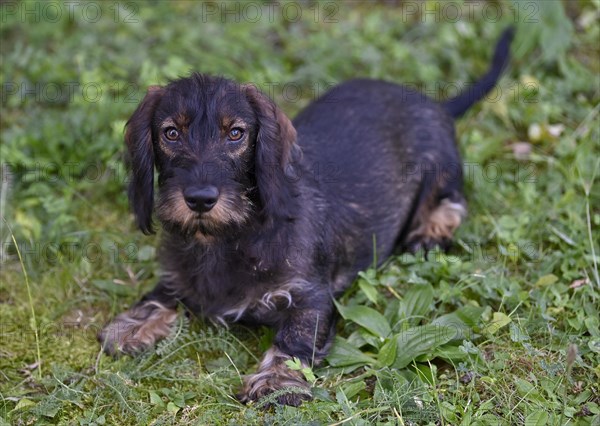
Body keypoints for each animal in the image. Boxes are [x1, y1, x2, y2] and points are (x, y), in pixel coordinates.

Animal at [101, 27, 512, 406]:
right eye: (171, 132)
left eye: (236, 133)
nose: (200, 199)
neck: (229, 237)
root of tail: (432, 103)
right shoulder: (181, 273)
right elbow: (165, 292)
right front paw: (133, 323)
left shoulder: (311, 295)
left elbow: (295, 338)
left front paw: (276, 380)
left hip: (440, 166)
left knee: (453, 201)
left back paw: (429, 231)